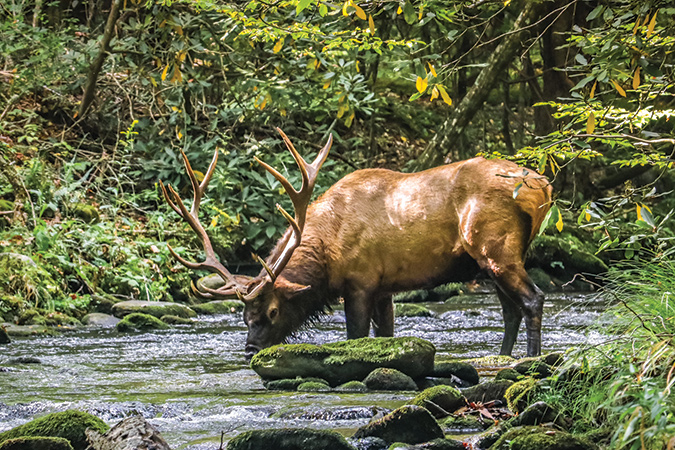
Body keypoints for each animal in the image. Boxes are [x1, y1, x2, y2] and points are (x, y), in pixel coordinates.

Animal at [160, 128, 553, 358]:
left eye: (271, 311)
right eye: (243, 316)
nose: (250, 349)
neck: (328, 253)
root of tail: (544, 189)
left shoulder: (361, 281)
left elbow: (356, 336)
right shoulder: (385, 287)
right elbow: (386, 335)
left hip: (497, 248)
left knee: (532, 299)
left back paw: (530, 359)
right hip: (486, 262)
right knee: (510, 310)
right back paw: (502, 357)